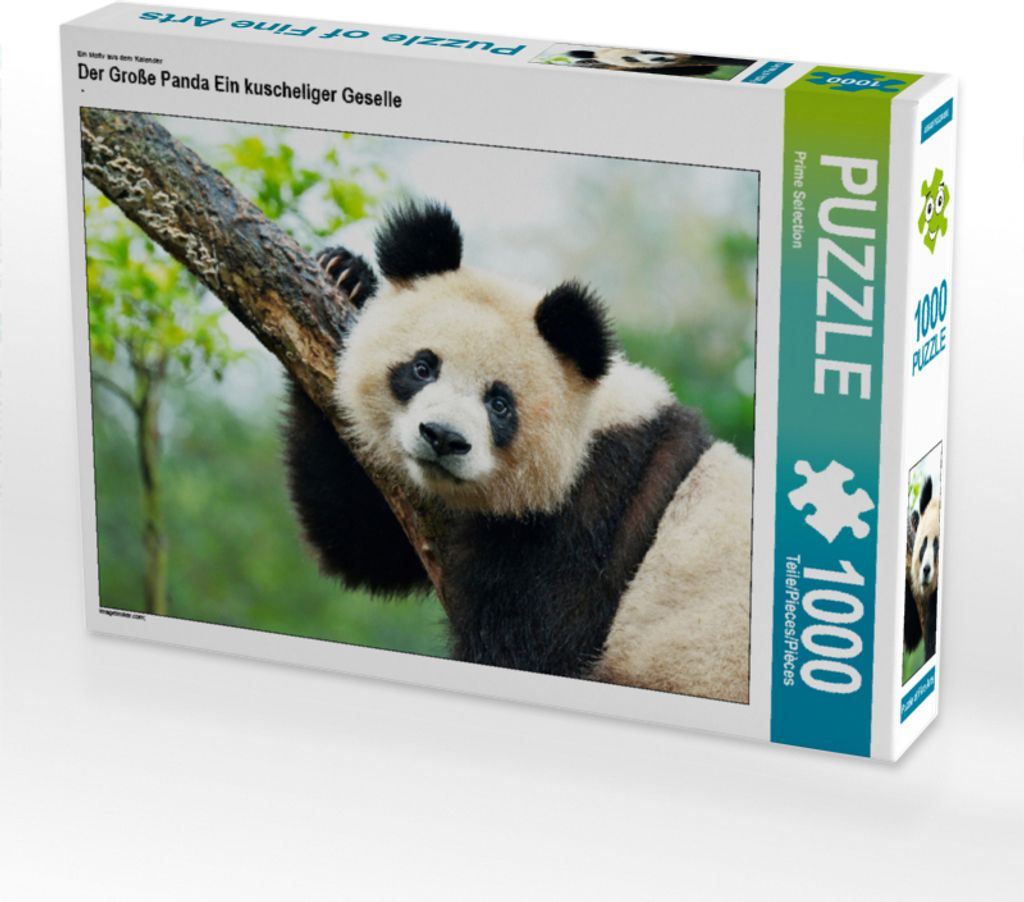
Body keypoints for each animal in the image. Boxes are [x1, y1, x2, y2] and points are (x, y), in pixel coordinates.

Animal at [285, 200, 752, 703]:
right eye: (423, 367)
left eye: (500, 403)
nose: (442, 438)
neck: (590, 429)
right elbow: (364, 539)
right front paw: (345, 273)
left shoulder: (594, 516)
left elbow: (533, 646)